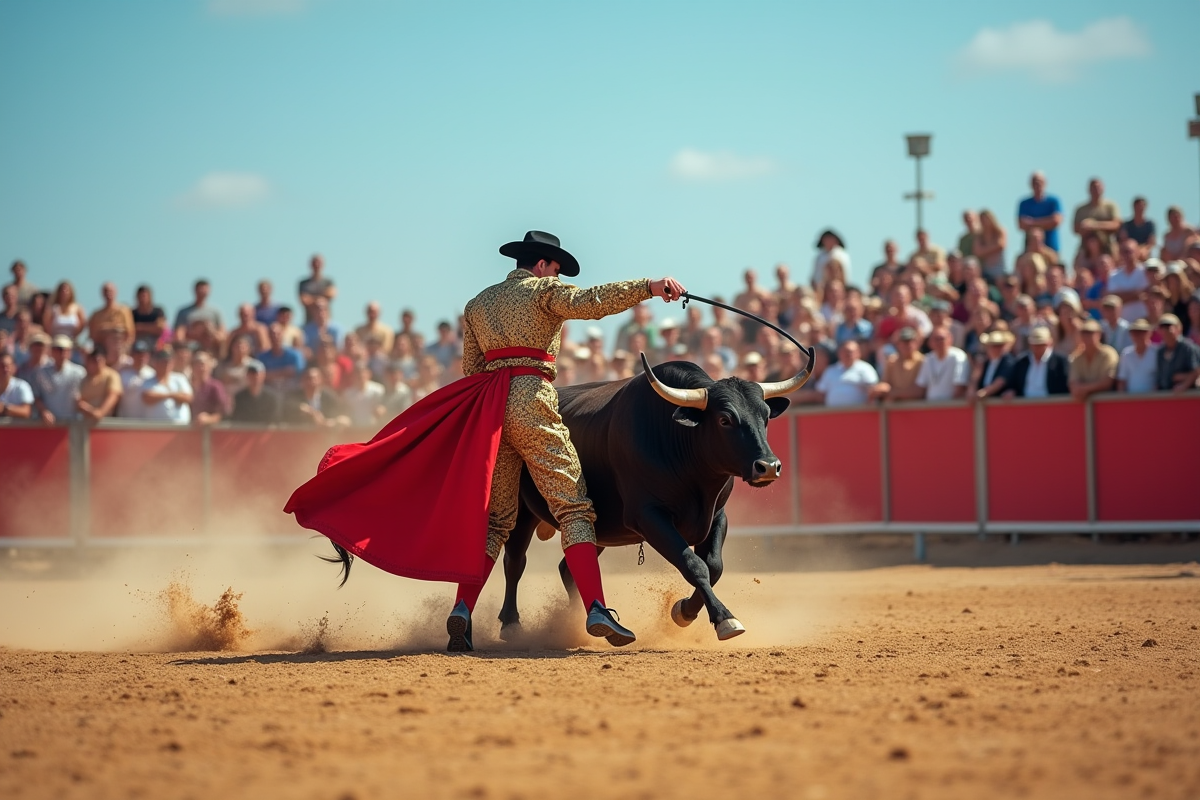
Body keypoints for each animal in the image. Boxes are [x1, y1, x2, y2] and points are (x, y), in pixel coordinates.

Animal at [496, 352, 816, 642]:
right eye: (725, 419)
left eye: (766, 416)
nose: (768, 466)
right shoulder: (649, 517)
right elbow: (693, 564)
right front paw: (725, 619)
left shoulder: (717, 516)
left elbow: (713, 566)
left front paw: (685, 611)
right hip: (521, 512)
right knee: (515, 563)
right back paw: (511, 625)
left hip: (596, 528)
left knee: (568, 567)